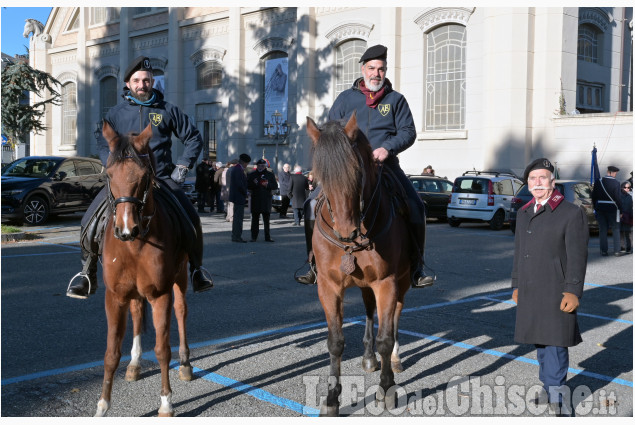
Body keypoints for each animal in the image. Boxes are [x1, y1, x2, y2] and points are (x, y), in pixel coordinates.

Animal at [94, 121, 193, 416]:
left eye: (144, 175)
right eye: (109, 175)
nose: (126, 229)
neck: (135, 245)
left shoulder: (160, 294)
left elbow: (162, 349)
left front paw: (166, 402)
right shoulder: (115, 297)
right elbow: (111, 353)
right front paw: (102, 405)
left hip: (181, 278)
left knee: (181, 311)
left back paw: (186, 364)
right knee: (137, 313)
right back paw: (135, 364)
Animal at [306, 112, 412, 414]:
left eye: (357, 172)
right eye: (320, 176)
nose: (347, 231)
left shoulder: (386, 282)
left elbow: (386, 339)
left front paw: (386, 389)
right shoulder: (328, 287)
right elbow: (335, 343)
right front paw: (332, 399)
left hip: (402, 281)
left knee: (395, 317)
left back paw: (395, 360)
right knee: (368, 311)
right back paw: (368, 357)